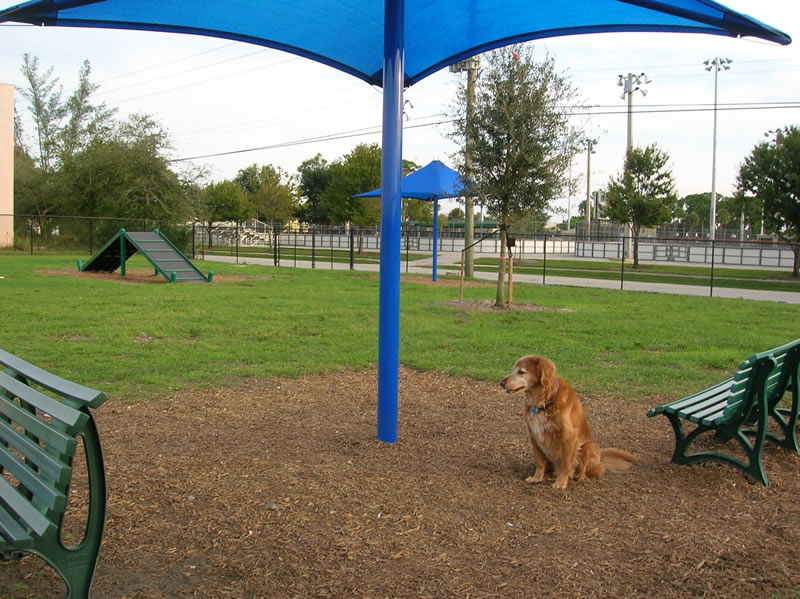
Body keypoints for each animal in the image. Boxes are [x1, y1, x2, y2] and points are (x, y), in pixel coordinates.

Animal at [500, 356, 636, 488]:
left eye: (521, 372)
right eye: (513, 370)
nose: (501, 383)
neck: (544, 401)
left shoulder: (569, 436)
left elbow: (566, 464)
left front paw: (561, 483)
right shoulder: (534, 435)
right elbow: (539, 462)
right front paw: (537, 478)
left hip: (589, 446)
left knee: (584, 470)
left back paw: (578, 477)